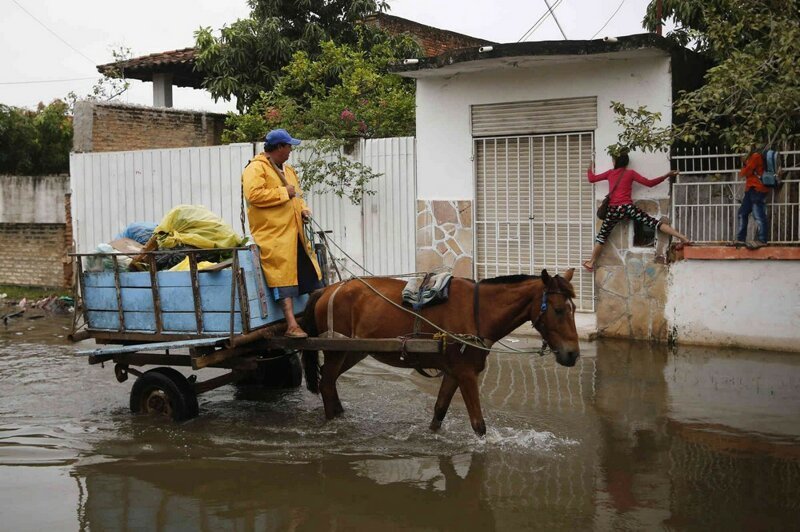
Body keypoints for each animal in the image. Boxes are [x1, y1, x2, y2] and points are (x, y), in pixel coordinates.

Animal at [304, 268, 580, 434]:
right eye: (558, 310)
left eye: (573, 309)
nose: (573, 354)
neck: (479, 311)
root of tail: (327, 289)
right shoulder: (467, 373)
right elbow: (478, 425)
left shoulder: (454, 372)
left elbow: (439, 411)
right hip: (337, 350)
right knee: (326, 383)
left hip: (352, 350)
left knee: (330, 381)